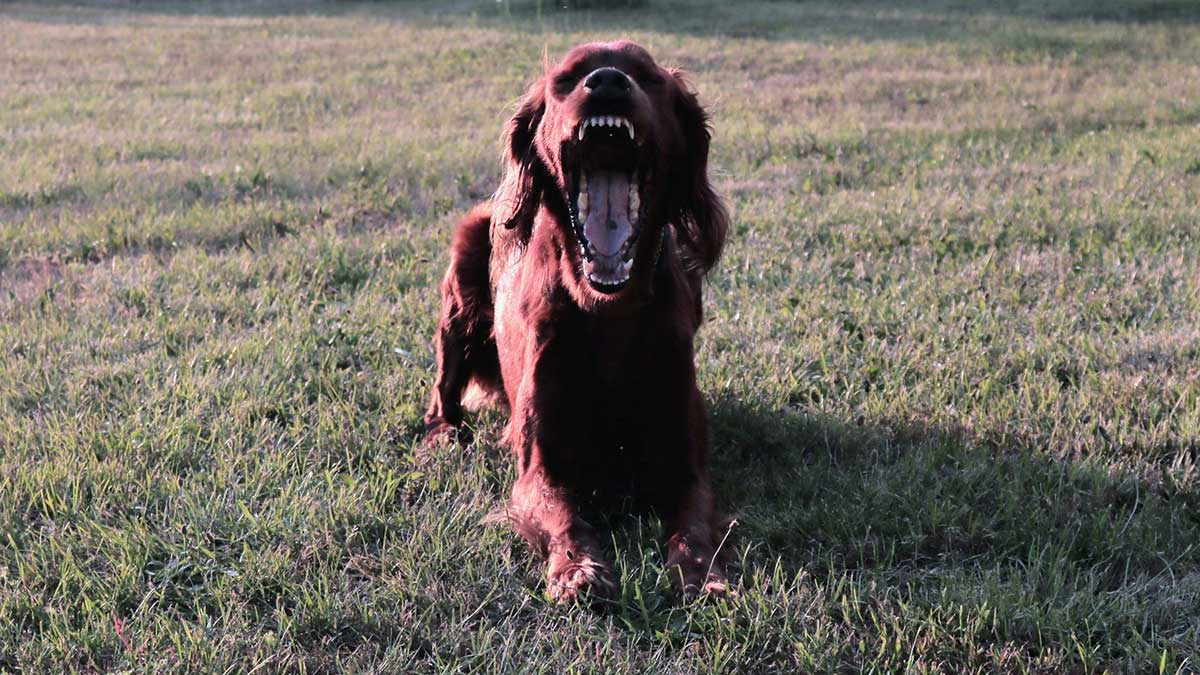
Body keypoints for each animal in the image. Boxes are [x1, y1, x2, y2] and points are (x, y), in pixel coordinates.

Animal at [427, 42, 724, 598]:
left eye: (647, 76)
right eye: (566, 79)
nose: (607, 82)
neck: (607, 311)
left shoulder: (685, 462)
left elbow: (694, 522)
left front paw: (700, 573)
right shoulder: (539, 467)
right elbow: (565, 516)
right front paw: (578, 569)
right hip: (463, 279)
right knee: (444, 387)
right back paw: (441, 437)